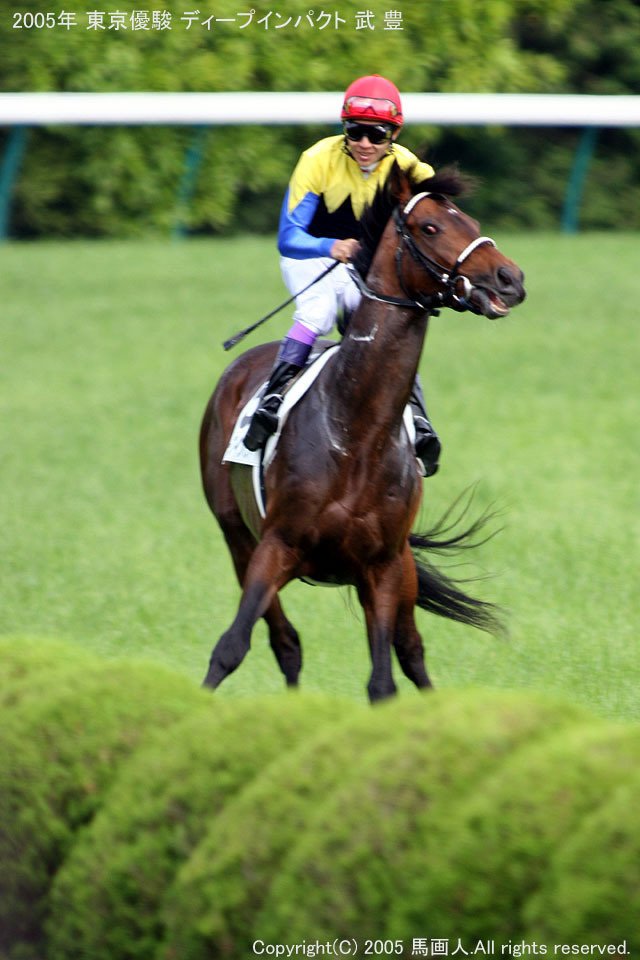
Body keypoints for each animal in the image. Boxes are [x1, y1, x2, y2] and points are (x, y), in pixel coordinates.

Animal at [199, 163, 526, 702]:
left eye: (472, 221)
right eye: (430, 227)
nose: (510, 278)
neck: (357, 433)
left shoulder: (384, 566)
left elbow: (383, 680)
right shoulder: (275, 546)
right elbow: (231, 646)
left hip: (400, 571)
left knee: (411, 652)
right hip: (236, 536)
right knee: (286, 643)